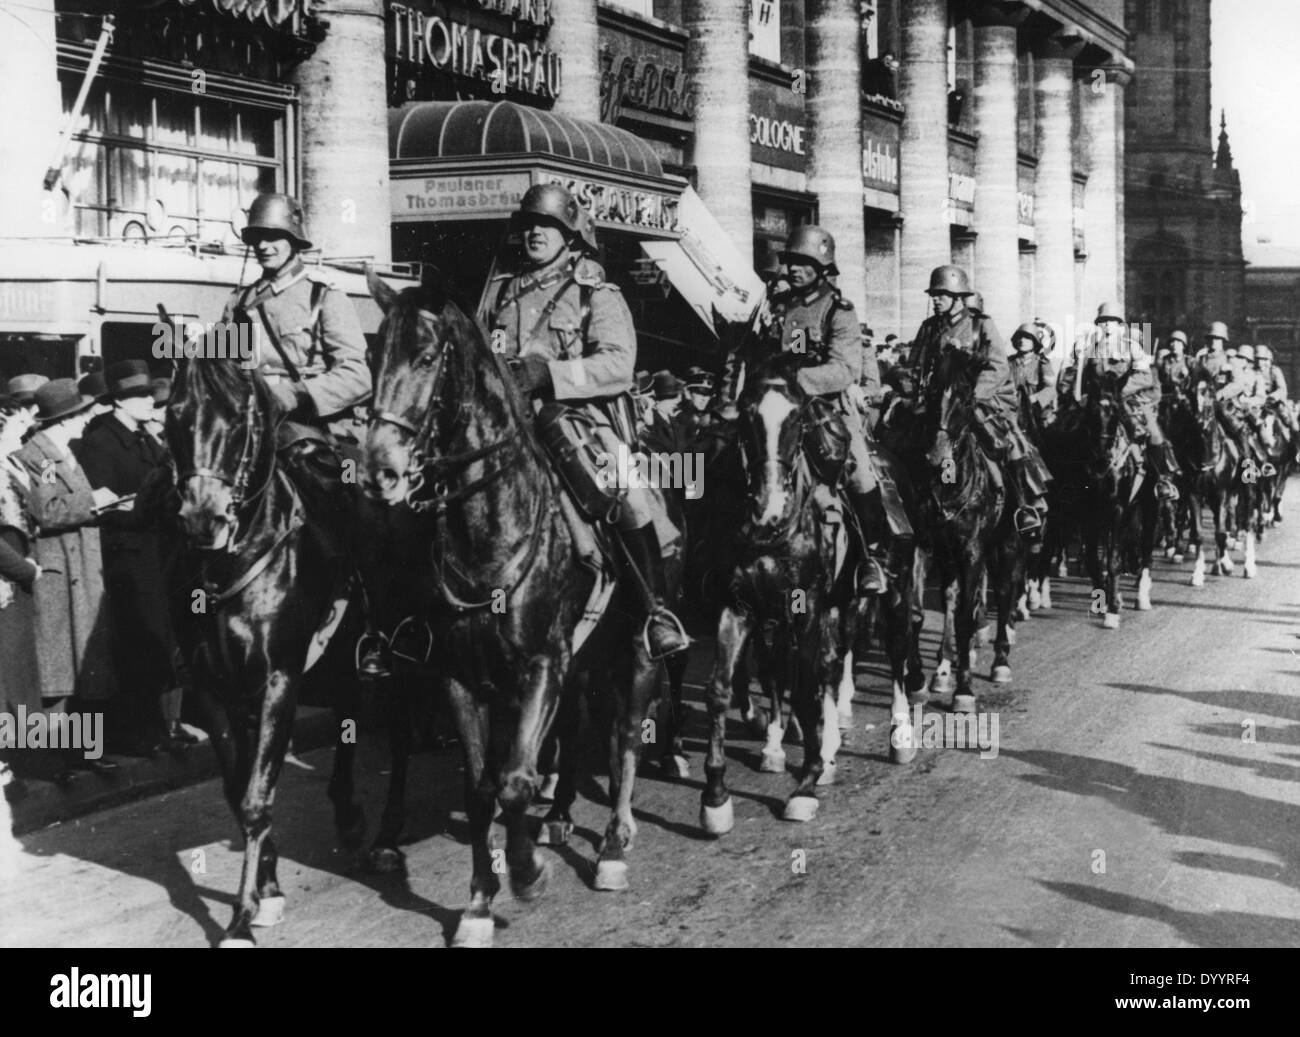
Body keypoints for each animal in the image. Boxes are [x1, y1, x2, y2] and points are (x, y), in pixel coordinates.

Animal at [162, 353, 369, 946]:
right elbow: (241, 791)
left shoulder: (282, 678)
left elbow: (257, 798)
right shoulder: (213, 690)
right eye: (173, 415)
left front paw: (239, 917)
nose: (202, 519)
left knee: (350, 716)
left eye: (237, 418)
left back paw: (351, 820)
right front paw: (269, 889)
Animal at [361, 271, 676, 946]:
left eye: (425, 358)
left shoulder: (541, 666)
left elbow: (513, 783)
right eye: (372, 358)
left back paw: (614, 844)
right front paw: (479, 903)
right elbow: (482, 789)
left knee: (626, 735)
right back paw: (561, 815)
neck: (491, 531)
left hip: (635, 648)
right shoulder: (459, 678)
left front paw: (529, 874)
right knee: (580, 726)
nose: (379, 471)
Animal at [702, 353, 925, 842]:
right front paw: (716, 798)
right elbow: (723, 688)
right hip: (838, 603)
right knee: (834, 660)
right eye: (746, 418)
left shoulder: (805, 610)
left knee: (896, 647)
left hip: (897, 588)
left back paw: (900, 736)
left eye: (797, 419)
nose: (767, 510)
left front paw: (803, 787)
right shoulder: (739, 608)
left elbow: (803, 689)